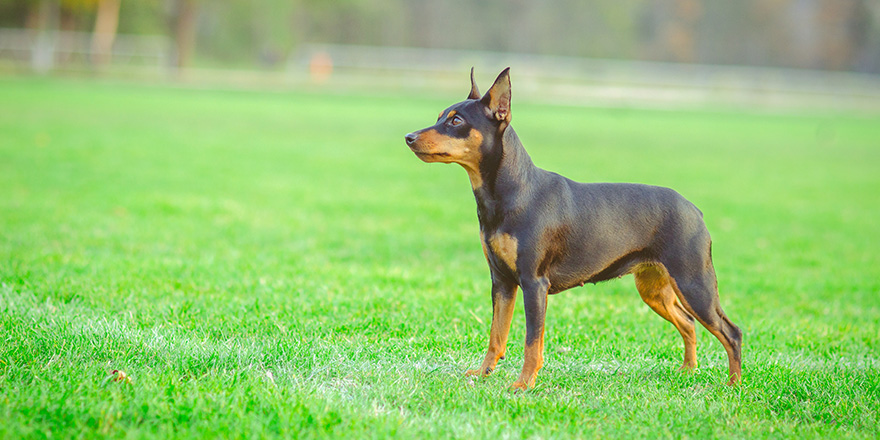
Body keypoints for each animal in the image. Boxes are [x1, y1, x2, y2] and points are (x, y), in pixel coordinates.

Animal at [406, 67, 744, 390]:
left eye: (456, 120)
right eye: (439, 117)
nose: (409, 137)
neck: (514, 191)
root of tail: (694, 210)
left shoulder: (534, 284)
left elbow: (532, 342)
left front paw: (523, 384)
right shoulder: (501, 281)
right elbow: (496, 336)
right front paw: (483, 374)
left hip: (693, 283)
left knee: (732, 332)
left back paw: (733, 385)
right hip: (654, 288)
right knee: (688, 323)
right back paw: (688, 370)